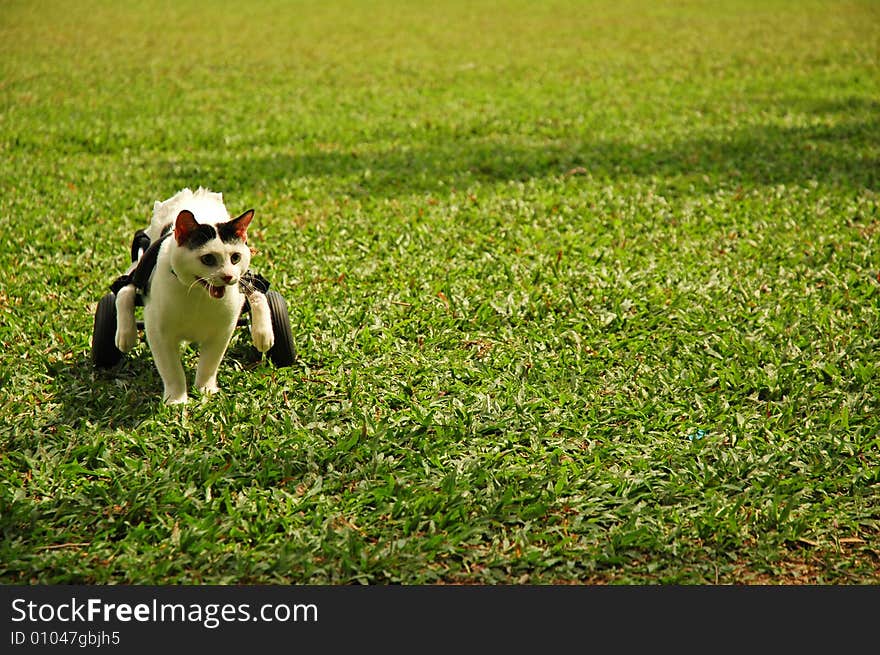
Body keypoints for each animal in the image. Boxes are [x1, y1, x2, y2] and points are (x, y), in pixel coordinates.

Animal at [113, 187, 274, 404]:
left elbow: (209, 364)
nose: (228, 276)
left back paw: (263, 334)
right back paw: (125, 334)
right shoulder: (158, 332)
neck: (198, 297)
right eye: (207, 259)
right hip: (139, 266)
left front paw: (206, 390)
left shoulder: (222, 330)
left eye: (235, 257)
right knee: (124, 287)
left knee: (257, 290)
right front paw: (176, 400)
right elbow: (172, 370)